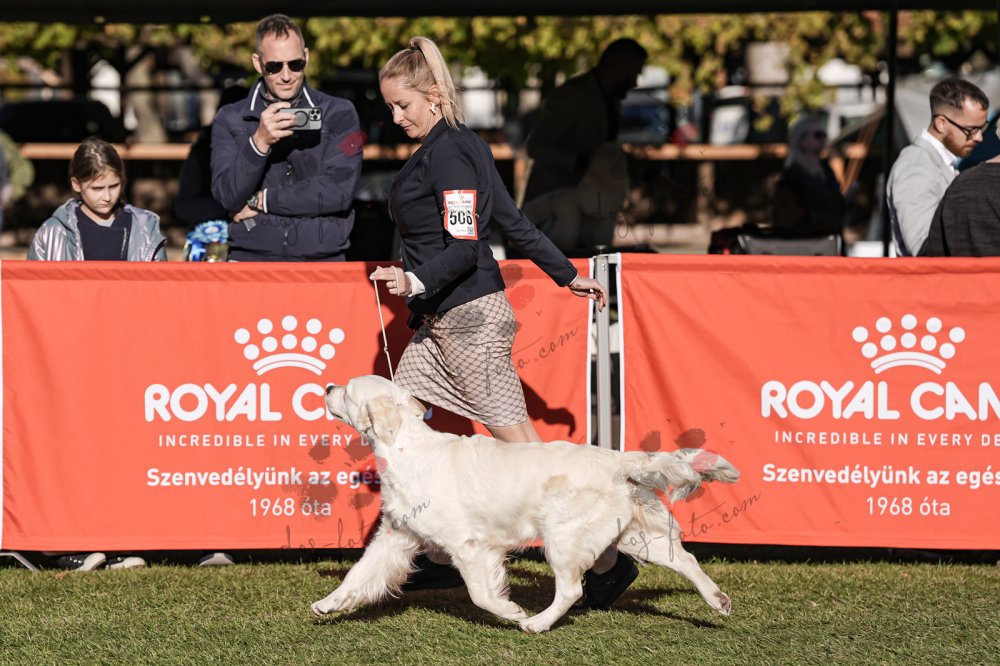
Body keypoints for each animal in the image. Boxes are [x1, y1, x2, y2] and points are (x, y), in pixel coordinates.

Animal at [311, 375, 739, 633]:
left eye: (348, 391)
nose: (328, 385)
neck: (407, 449)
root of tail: (618, 461)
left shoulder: (468, 545)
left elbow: (480, 593)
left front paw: (510, 612)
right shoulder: (395, 537)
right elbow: (358, 576)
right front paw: (327, 604)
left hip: (563, 538)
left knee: (571, 590)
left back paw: (537, 623)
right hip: (636, 536)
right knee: (686, 560)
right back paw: (717, 601)